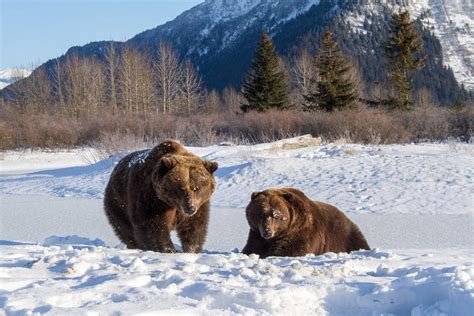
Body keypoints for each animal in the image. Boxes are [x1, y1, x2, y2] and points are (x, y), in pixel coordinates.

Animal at [241, 188, 370, 256]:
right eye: (260, 214)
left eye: (276, 215)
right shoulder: (256, 234)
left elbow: (291, 251)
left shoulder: (303, 232)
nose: (267, 231)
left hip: (345, 236)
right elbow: (251, 249)